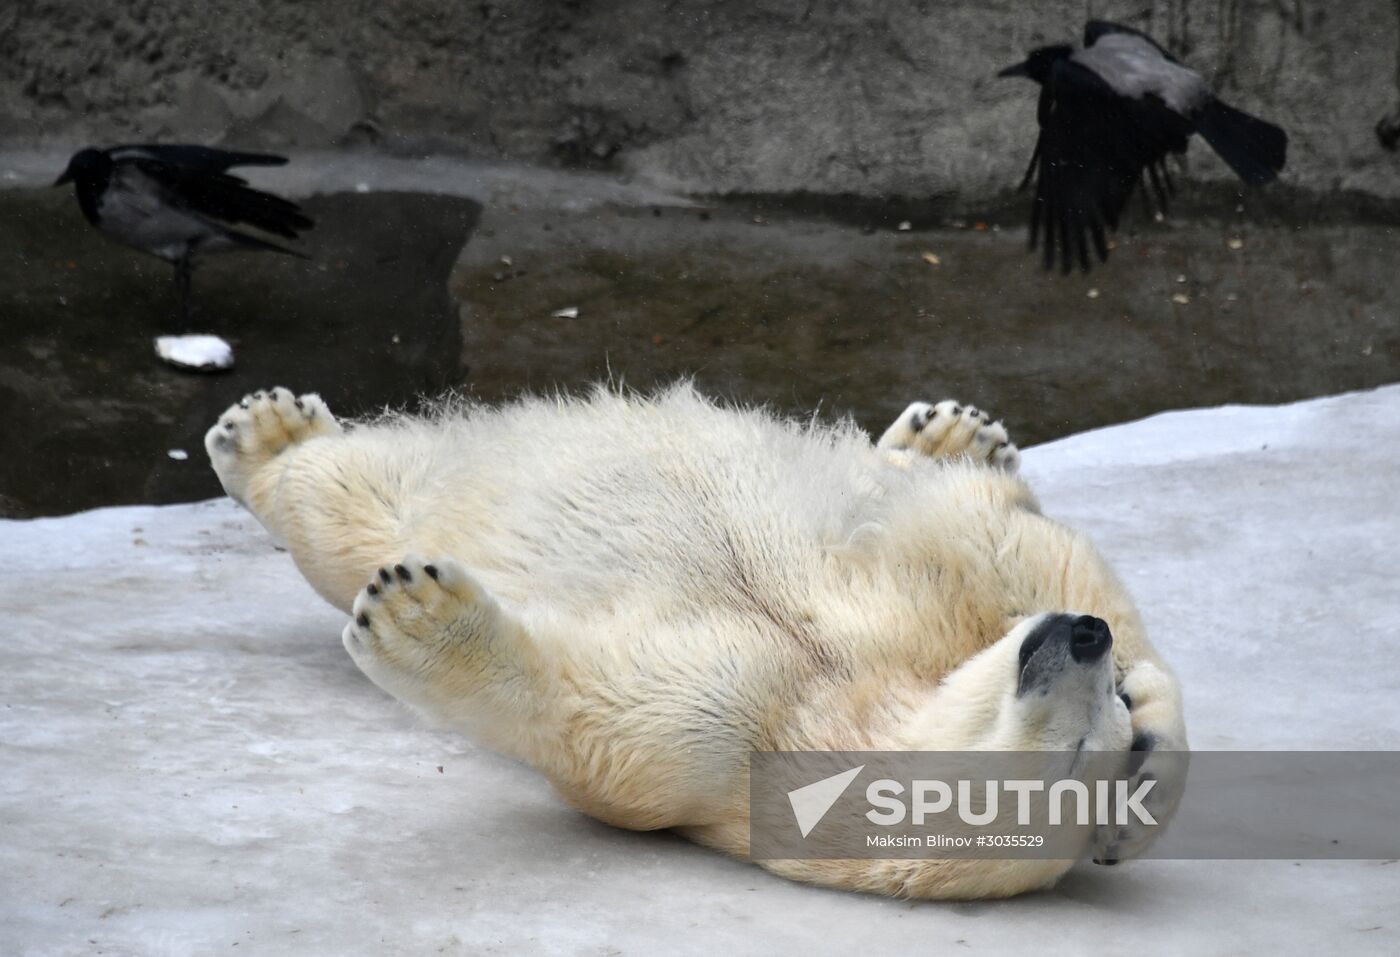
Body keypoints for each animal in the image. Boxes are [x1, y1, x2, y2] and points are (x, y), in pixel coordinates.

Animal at [205, 383, 1187, 900]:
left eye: (1073, 755)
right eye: (1099, 723)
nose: (1086, 643)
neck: (847, 697)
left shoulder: (721, 739)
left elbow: (586, 713)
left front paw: (422, 619)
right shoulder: (926, 618)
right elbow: (1005, 544)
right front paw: (1151, 722)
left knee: (348, 512)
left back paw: (266, 442)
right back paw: (950, 433)